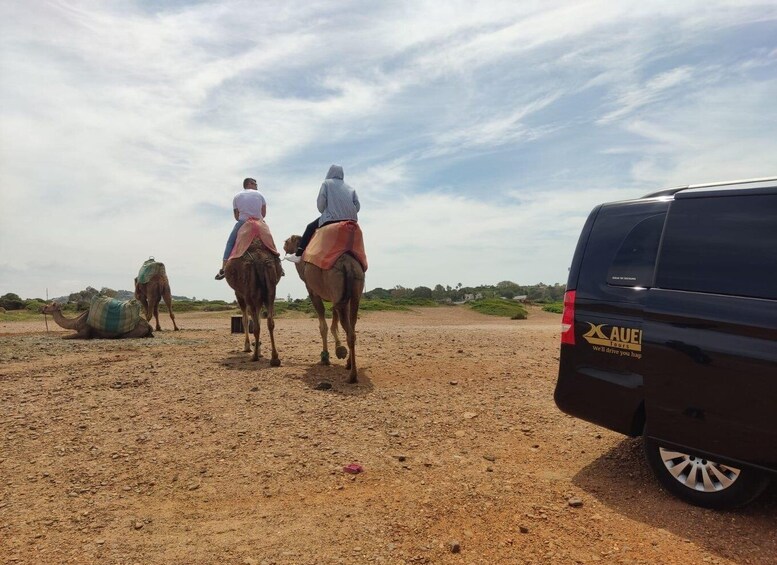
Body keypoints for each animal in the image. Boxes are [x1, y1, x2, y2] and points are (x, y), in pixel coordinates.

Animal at [282, 234, 364, 384]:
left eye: (288, 240)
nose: (284, 245)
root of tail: (348, 265)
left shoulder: (313, 292)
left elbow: (323, 326)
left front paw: (325, 358)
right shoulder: (335, 297)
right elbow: (334, 323)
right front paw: (339, 349)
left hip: (336, 283)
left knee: (349, 332)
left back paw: (352, 376)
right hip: (356, 290)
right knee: (352, 326)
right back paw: (349, 364)